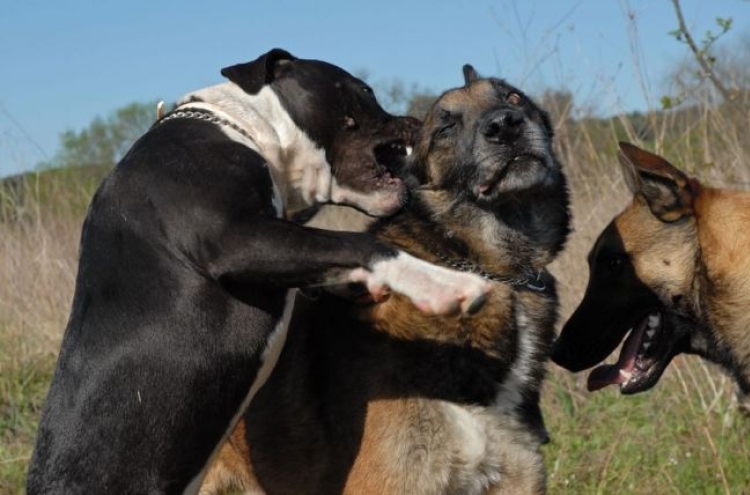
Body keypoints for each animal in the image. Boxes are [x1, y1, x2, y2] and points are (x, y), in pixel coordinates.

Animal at [26, 48, 490, 494]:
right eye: (364, 90)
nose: (416, 121)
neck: (245, 128)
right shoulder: (233, 239)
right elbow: (361, 243)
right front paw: (447, 285)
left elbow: (330, 256)